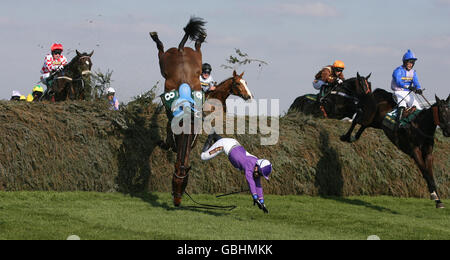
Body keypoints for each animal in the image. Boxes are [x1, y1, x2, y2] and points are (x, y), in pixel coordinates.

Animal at [151, 16, 207, 207]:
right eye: (174, 182)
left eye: (184, 185)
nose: (177, 201)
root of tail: (182, 49)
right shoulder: (171, 129)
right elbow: (168, 143)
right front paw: (162, 143)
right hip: (163, 62)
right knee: (160, 50)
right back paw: (156, 37)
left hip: (196, 58)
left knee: (197, 46)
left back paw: (200, 38)